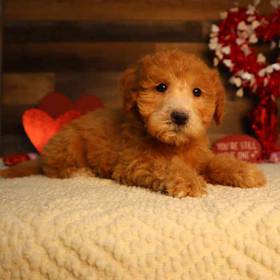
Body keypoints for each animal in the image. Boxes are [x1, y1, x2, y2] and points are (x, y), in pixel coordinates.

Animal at [1, 49, 266, 197]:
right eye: (161, 87)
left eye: (197, 92)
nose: (179, 116)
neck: (174, 145)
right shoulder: (136, 161)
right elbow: (165, 165)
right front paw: (188, 180)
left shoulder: (200, 156)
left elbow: (216, 161)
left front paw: (244, 171)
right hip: (69, 142)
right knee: (53, 169)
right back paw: (81, 172)